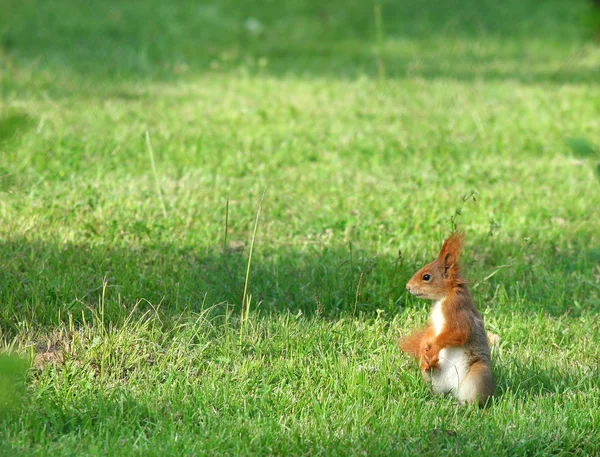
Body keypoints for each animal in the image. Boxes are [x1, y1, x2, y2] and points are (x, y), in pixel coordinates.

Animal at [400, 233, 494, 404]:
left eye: (426, 277)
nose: (408, 287)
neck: (443, 297)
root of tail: (452, 391)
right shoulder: (434, 323)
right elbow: (430, 333)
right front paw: (423, 349)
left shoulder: (457, 309)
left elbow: (458, 333)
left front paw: (433, 348)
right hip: (431, 379)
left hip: (477, 376)